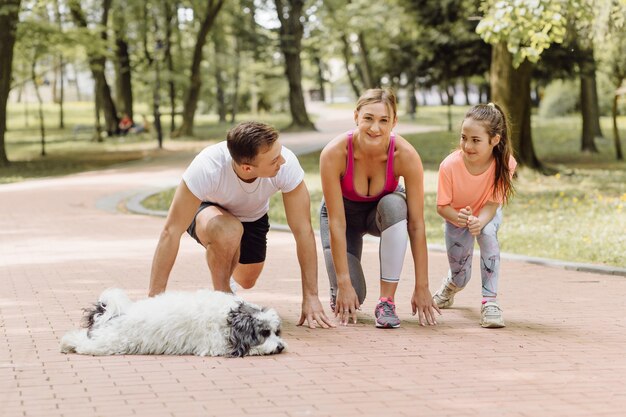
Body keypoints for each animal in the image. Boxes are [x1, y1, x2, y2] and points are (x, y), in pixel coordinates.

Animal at [59, 288, 284, 356]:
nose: (281, 346)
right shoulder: (215, 346)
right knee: (84, 344)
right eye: (265, 333)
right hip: (110, 344)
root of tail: (117, 314)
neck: (229, 317)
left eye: (277, 332)